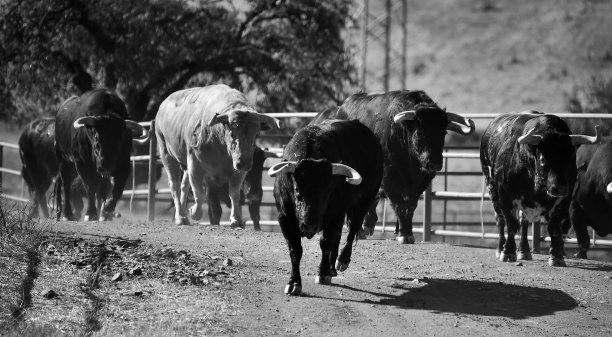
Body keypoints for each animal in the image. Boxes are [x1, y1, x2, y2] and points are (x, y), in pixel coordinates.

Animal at [53, 88, 148, 220]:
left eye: (120, 140)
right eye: (97, 140)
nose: (106, 166)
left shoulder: (124, 163)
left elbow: (118, 188)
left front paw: (108, 208)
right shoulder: (82, 163)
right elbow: (90, 186)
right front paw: (91, 213)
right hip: (63, 159)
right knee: (66, 184)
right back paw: (67, 214)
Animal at [155, 84, 280, 226]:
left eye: (256, 134)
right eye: (232, 132)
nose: (244, 162)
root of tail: (163, 106)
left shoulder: (238, 171)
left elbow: (234, 194)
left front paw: (236, 219)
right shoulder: (196, 165)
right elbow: (199, 193)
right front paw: (195, 213)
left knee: (184, 185)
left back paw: (183, 214)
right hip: (166, 153)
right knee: (175, 185)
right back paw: (180, 217)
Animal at [268, 118, 382, 294]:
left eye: (328, 191)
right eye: (296, 190)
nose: (310, 225)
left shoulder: (335, 214)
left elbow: (326, 244)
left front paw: (322, 274)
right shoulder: (285, 218)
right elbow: (295, 250)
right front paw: (294, 282)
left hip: (364, 201)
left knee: (352, 231)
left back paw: (341, 261)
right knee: (339, 236)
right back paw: (332, 267)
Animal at [310, 89, 474, 242]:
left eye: (443, 132)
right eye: (420, 132)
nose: (434, 163)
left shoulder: (422, 181)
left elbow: (410, 205)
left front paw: (407, 232)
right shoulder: (389, 177)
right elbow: (399, 204)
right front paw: (404, 235)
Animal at [480, 111, 600, 266]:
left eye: (570, 158)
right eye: (543, 159)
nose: (559, 188)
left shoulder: (564, 200)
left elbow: (554, 228)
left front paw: (556, 256)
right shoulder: (505, 197)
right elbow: (511, 225)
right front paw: (508, 252)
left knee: (524, 223)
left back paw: (524, 251)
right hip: (491, 188)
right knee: (500, 220)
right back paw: (500, 248)